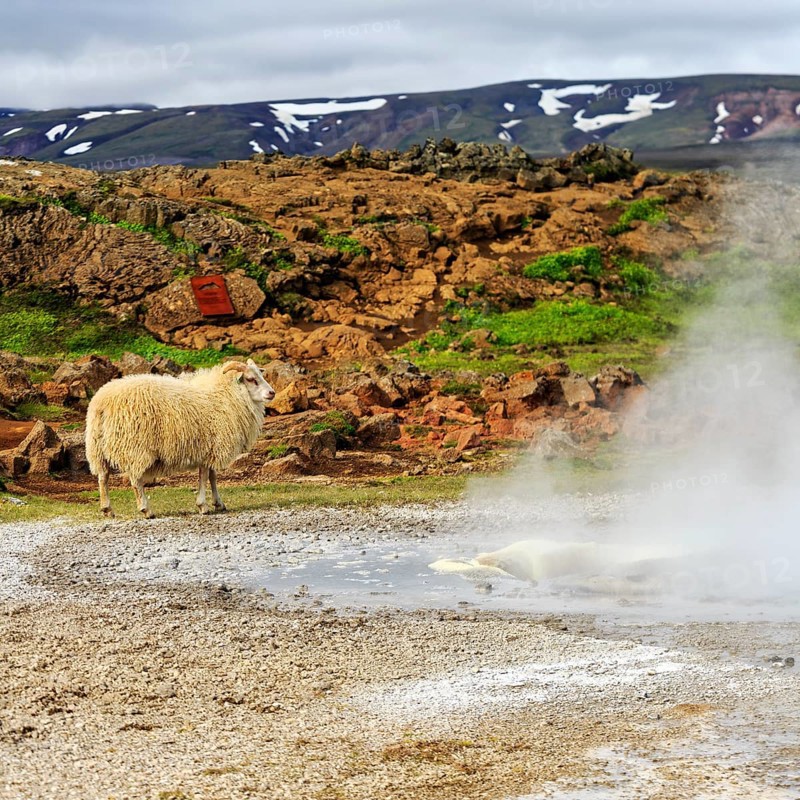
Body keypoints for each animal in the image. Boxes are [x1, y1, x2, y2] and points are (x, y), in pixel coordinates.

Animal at [85, 359, 275, 518]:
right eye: (251, 379)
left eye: (261, 375)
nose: (272, 393)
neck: (223, 395)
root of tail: (101, 403)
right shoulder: (209, 446)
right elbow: (204, 476)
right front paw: (203, 505)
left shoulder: (211, 447)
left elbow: (212, 476)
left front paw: (218, 503)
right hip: (135, 446)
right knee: (135, 480)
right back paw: (146, 509)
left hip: (97, 448)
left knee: (103, 477)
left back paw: (107, 509)